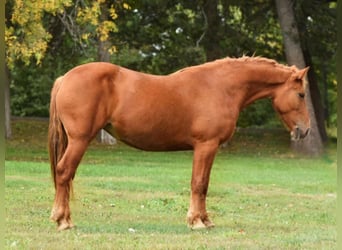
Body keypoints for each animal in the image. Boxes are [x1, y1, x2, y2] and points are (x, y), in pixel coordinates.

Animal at [48, 56, 310, 230]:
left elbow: (204, 184)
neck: (221, 87)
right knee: (64, 172)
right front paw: (197, 221)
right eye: (301, 94)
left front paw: (205, 219)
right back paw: (63, 220)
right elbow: (199, 183)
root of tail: (65, 78)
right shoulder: (206, 145)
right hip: (80, 140)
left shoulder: (208, 148)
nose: (305, 130)